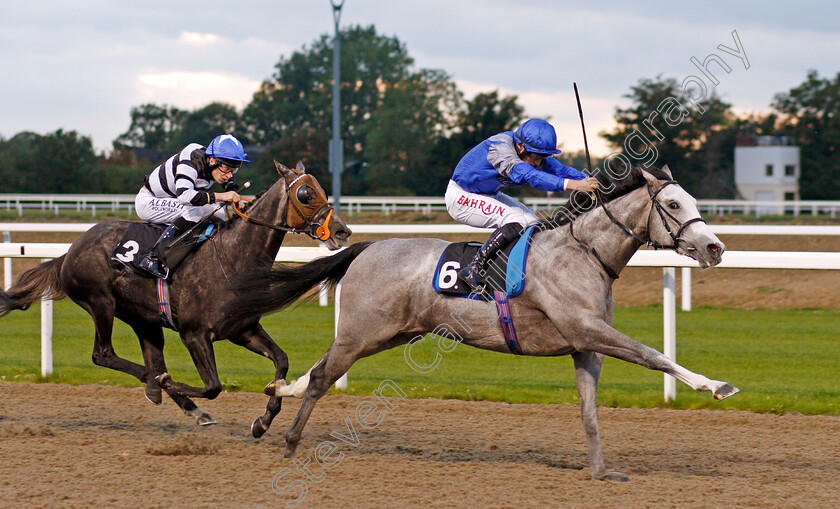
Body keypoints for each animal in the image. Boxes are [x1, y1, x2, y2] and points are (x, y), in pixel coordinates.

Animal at [0, 160, 348, 428]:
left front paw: (264, 419)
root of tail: (68, 253)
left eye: (322, 189)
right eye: (305, 193)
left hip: (144, 319)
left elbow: (282, 360)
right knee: (105, 354)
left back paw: (178, 400)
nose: (343, 231)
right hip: (101, 303)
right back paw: (158, 383)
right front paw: (171, 384)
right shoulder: (194, 334)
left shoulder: (243, 329)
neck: (232, 257)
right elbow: (213, 386)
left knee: (151, 358)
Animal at [221, 164, 736, 480]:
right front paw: (715, 386)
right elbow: (654, 355)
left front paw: (601, 472)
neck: (584, 253)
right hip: (363, 333)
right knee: (323, 377)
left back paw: (275, 399)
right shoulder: (588, 329)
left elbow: (590, 413)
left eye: (692, 201)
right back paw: (289, 440)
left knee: (319, 369)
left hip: (383, 334)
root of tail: (367, 247)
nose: (715, 247)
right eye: (674, 205)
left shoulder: (585, 345)